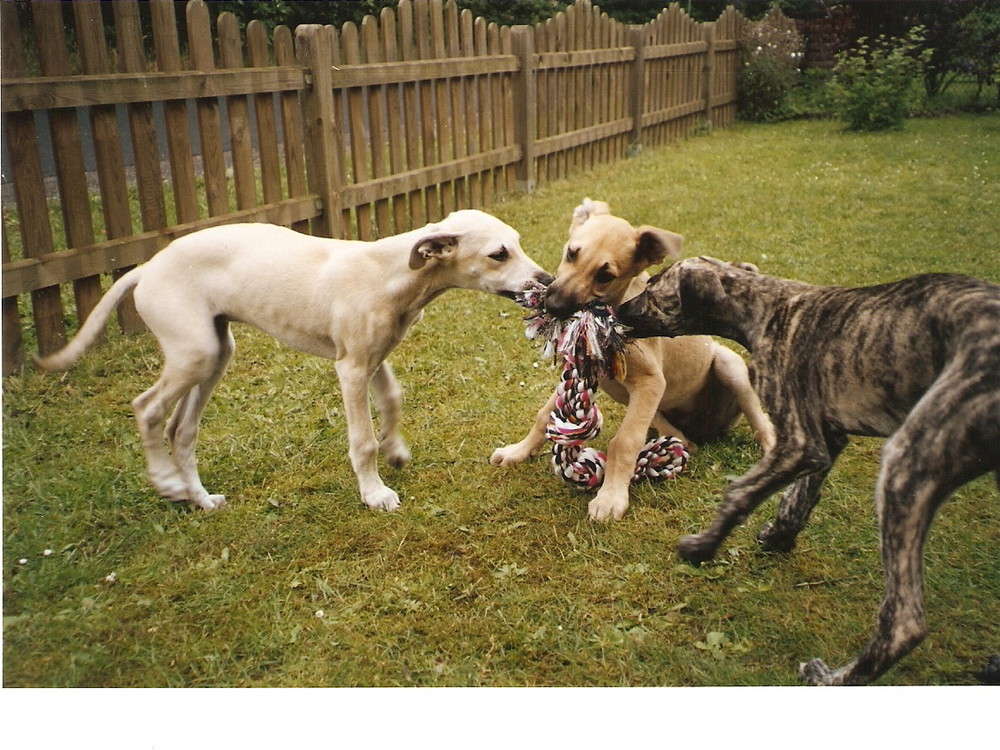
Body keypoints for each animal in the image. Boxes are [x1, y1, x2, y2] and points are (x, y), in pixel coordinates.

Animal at [39, 214, 552, 516]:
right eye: (498, 253)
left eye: (519, 243)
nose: (547, 282)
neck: (389, 273)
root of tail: (146, 268)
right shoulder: (350, 369)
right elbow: (362, 440)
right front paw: (374, 491)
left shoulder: (371, 359)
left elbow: (392, 398)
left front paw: (395, 449)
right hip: (194, 354)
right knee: (147, 409)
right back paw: (166, 482)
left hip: (214, 353)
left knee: (179, 430)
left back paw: (199, 498)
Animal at [490, 200, 772, 524]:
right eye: (572, 253)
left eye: (606, 275)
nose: (553, 306)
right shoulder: (580, 372)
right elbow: (543, 417)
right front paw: (518, 451)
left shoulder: (650, 381)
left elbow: (625, 441)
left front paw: (611, 497)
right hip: (628, 395)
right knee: (676, 433)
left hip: (729, 366)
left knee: (761, 421)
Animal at [616, 258, 1000, 688]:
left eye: (653, 288)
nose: (617, 311)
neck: (768, 306)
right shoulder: (824, 438)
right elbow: (798, 497)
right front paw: (778, 536)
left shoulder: (801, 442)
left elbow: (740, 493)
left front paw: (702, 546)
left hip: (906, 464)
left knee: (904, 621)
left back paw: (829, 678)